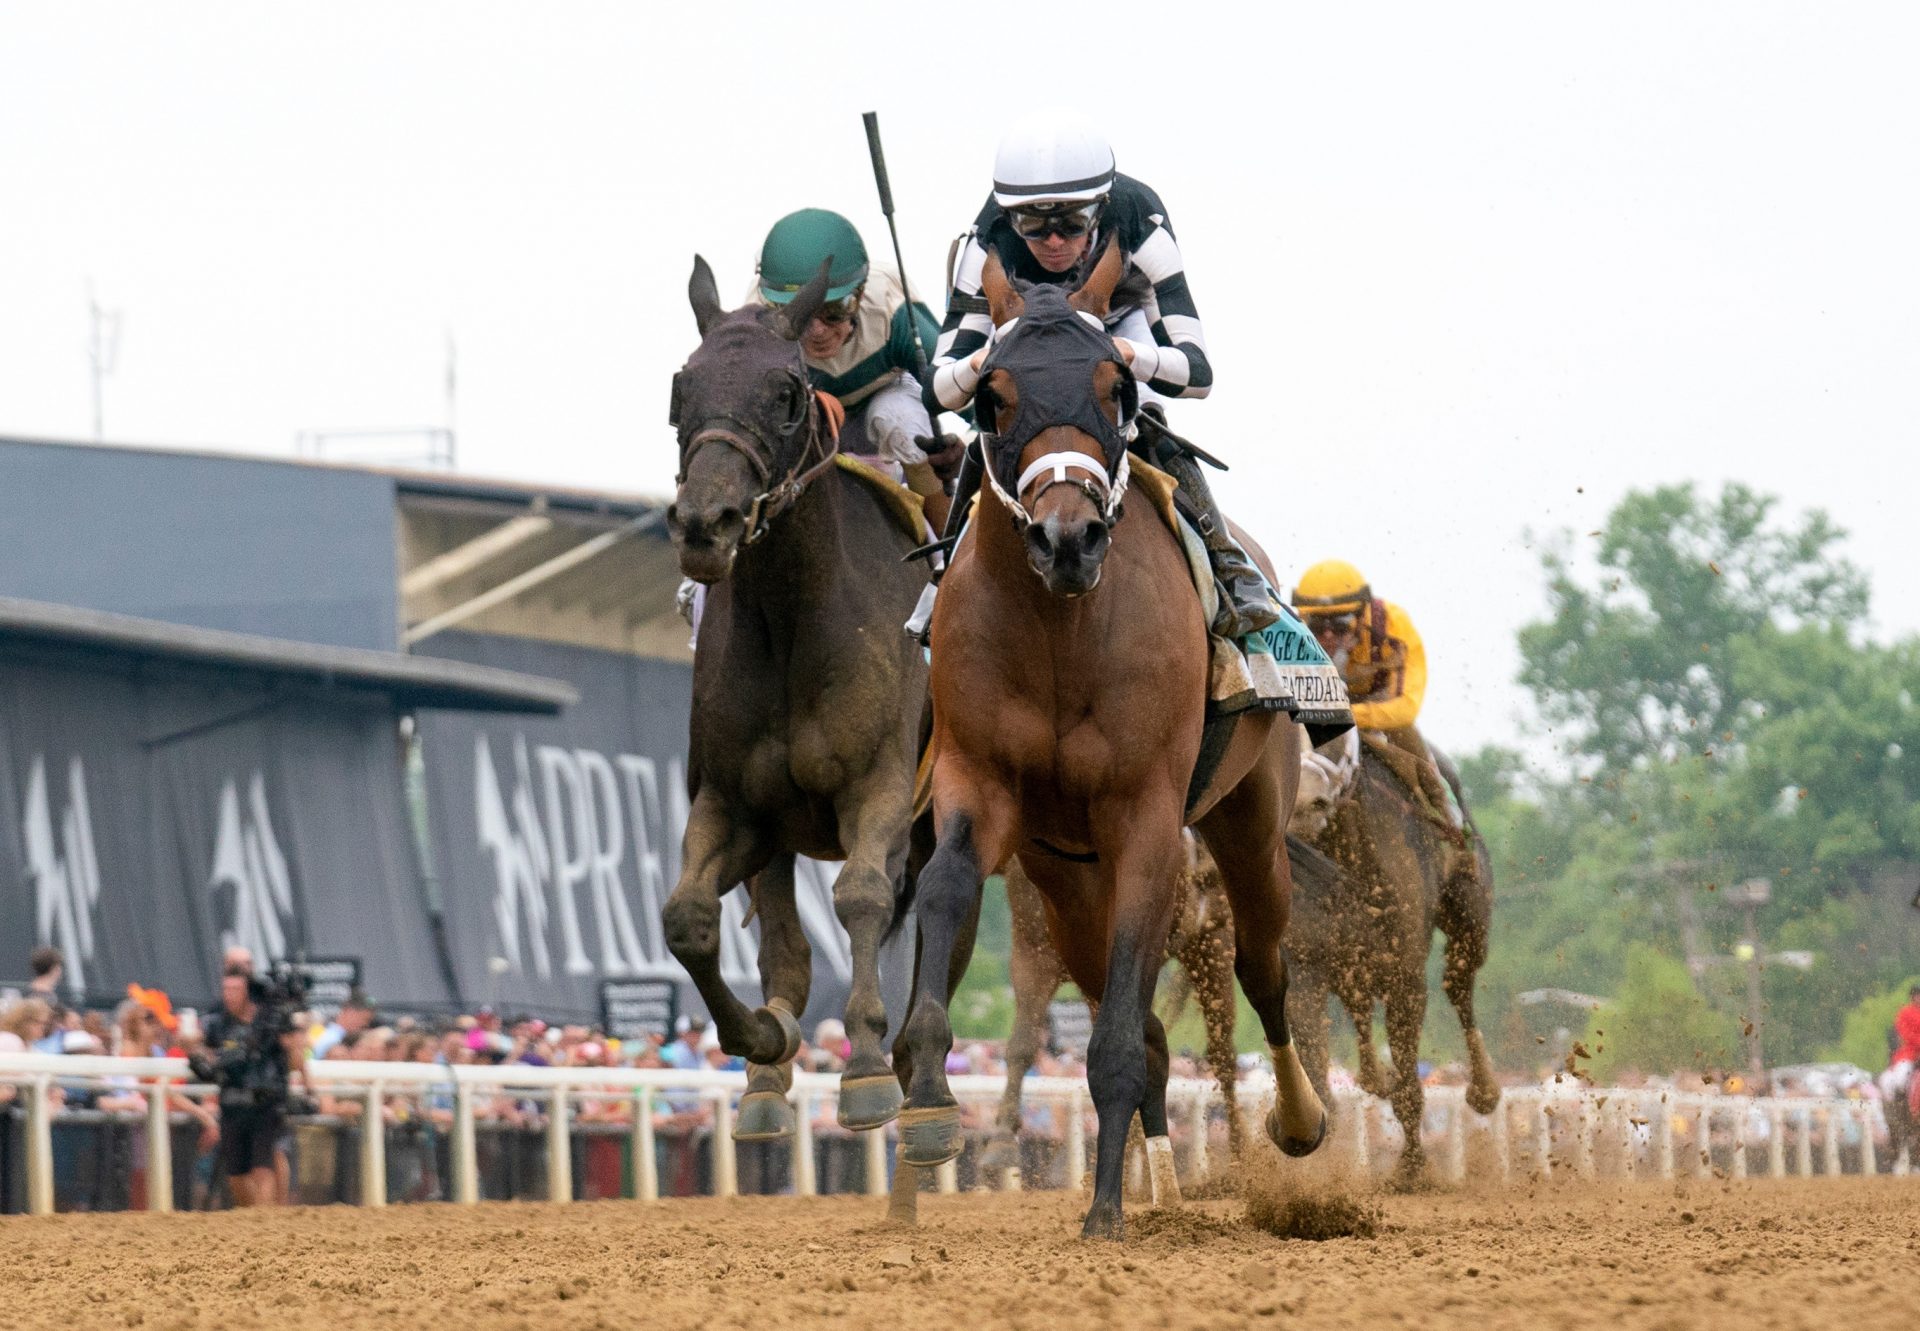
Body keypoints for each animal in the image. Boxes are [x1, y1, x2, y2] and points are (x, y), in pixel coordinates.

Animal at [664, 253, 925, 1137]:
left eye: (785, 392)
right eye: (680, 386)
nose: (705, 523)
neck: (792, 622)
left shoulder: (884, 786)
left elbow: (861, 895)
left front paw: (869, 1062)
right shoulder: (735, 803)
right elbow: (687, 918)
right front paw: (762, 1035)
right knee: (784, 935)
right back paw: (769, 1083)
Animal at [894, 243, 1320, 1244]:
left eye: (1115, 386)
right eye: (993, 396)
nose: (1068, 538)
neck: (1062, 629)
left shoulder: (1147, 820)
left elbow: (1123, 1034)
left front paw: (1104, 1214)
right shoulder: (980, 785)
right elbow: (945, 886)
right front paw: (928, 1098)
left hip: (1249, 818)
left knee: (1261, 965)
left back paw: (1296, 1120)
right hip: (1063, 880)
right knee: (1148, 1018)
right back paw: (1162, 1181)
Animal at [1290, 726, 1497, 1183]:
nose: (1303, 800)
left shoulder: (1407, 977)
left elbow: (1408, 1086)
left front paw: (1412, 1169)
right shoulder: (1304, 972)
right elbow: (1315, 1073)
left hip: (1470, 919)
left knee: (1459, 988)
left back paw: (1485, 1089)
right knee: (1360, 1007)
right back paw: (1373, 1076)